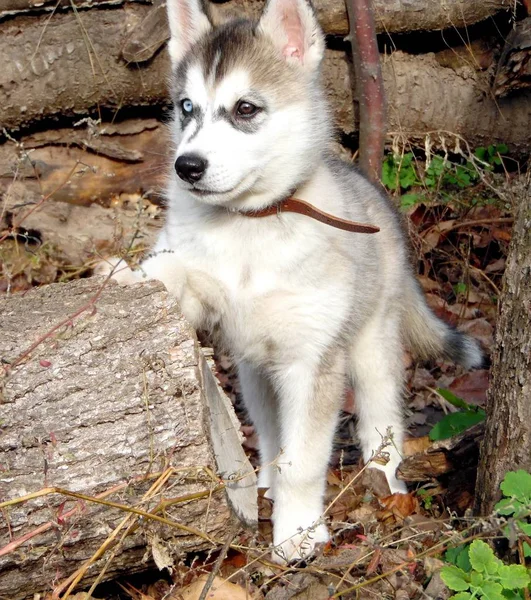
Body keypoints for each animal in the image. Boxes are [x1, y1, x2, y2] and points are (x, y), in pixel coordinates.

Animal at [98, 0, 482, 564]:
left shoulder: (312, 362)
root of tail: (372, 191)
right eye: (187, 108)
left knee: (381, 421)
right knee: (269, 431)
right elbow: (174, 268)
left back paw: (386, 483)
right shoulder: (210, 297)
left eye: (245, 109)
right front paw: (130, 275)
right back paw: (265, 481)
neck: (250, 225)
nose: (187, 166)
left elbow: (303, 461)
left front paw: (297, 533)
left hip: (370, 348)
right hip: (256, 373)